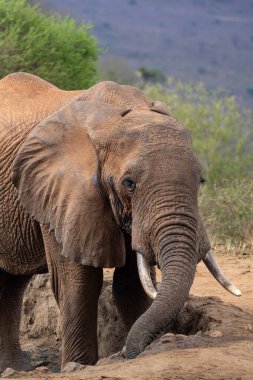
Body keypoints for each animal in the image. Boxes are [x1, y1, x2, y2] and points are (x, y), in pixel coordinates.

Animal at [0, 72, 241, 372]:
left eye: (201, 180)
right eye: (129, 184)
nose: (127, 353)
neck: (118, 114)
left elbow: (131, 285)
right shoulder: (60, 194)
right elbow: (79, 284)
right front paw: (77, 366)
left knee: (11, 283)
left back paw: (15, 369)